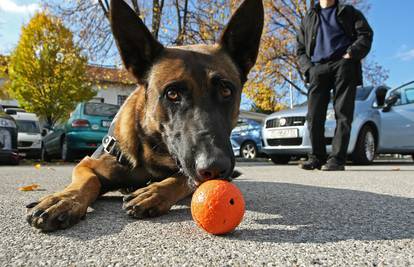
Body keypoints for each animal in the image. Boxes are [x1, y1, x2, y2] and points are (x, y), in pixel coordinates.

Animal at [25, 0, 264, 231]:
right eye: (172, 94)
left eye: (226, 91)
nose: (214, 167)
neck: (152, 153)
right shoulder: (86, 164)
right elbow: (87, 180)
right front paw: (64, 199)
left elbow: (180, 178)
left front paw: (154, 193)